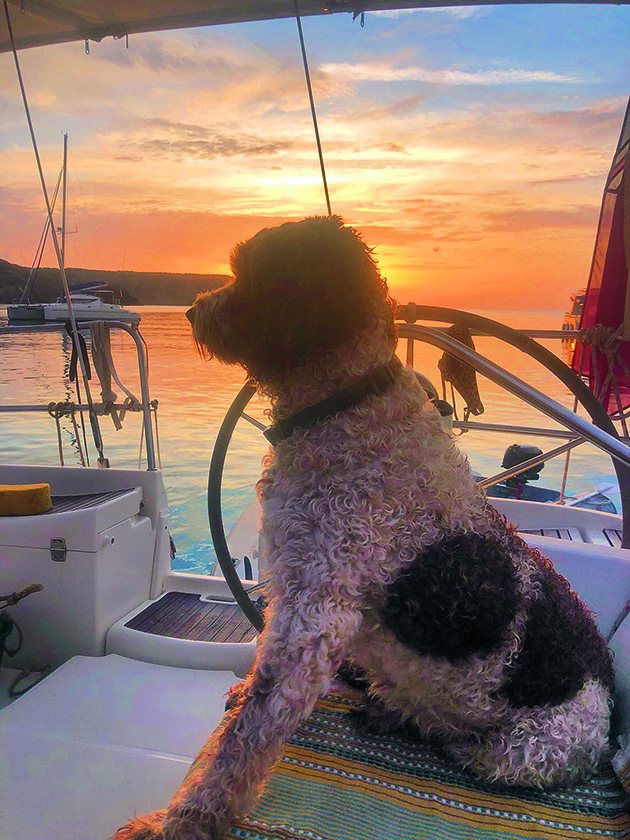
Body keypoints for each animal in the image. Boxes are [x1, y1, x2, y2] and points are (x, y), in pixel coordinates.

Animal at [116, 215, 616, 840]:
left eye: (249, 272)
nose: (191, 311)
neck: (346, 406)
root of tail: (611, 722)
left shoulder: (313, 615)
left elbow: (244, 741)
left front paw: (176, 821)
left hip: (521, 750)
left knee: (462, 740)